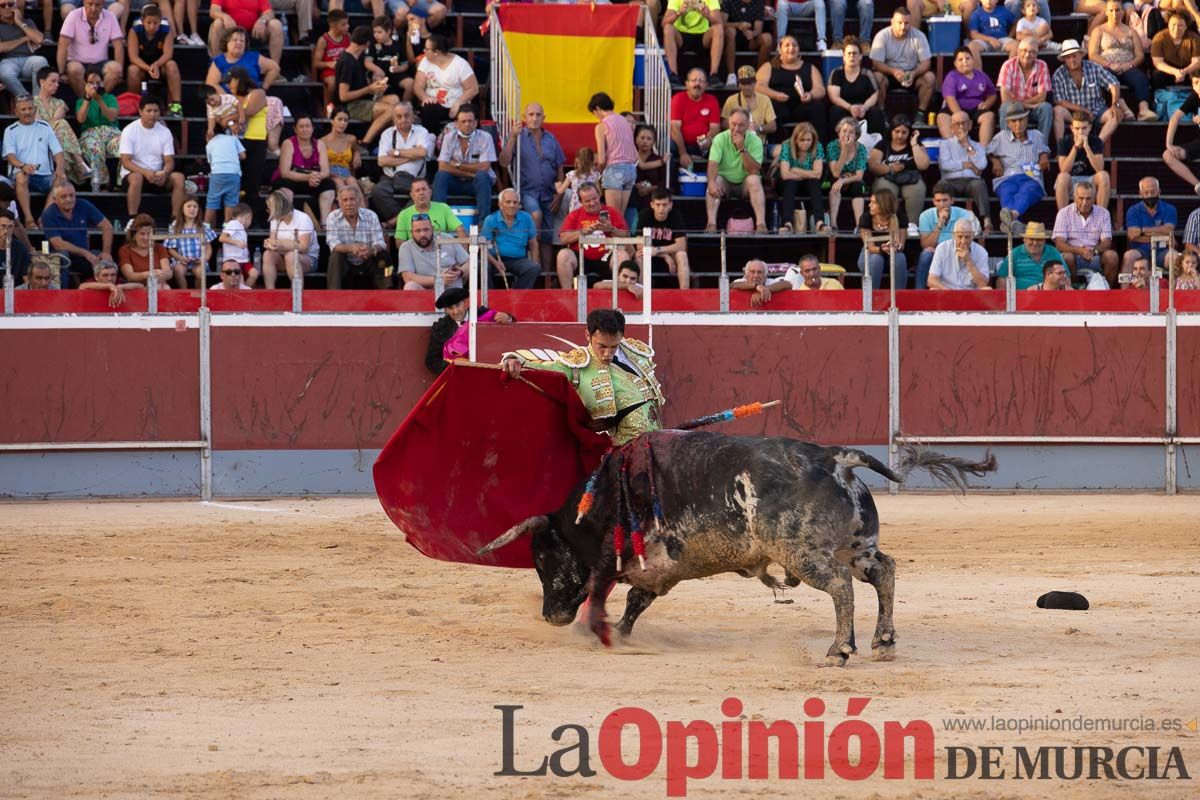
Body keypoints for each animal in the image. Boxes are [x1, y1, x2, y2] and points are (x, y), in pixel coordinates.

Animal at [477, 429, 993, 666]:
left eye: (543, 558)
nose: (551, 616)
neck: (601, 498)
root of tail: (835, 458)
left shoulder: (613, 562)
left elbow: (608, 594)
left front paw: (598, 633)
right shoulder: (659, 571)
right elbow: (636, 601)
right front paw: (621, 634)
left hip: (805, 554)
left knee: (841, 588)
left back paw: (838, 649)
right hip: (857, 546)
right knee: (883, 571)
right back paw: (883, 642)